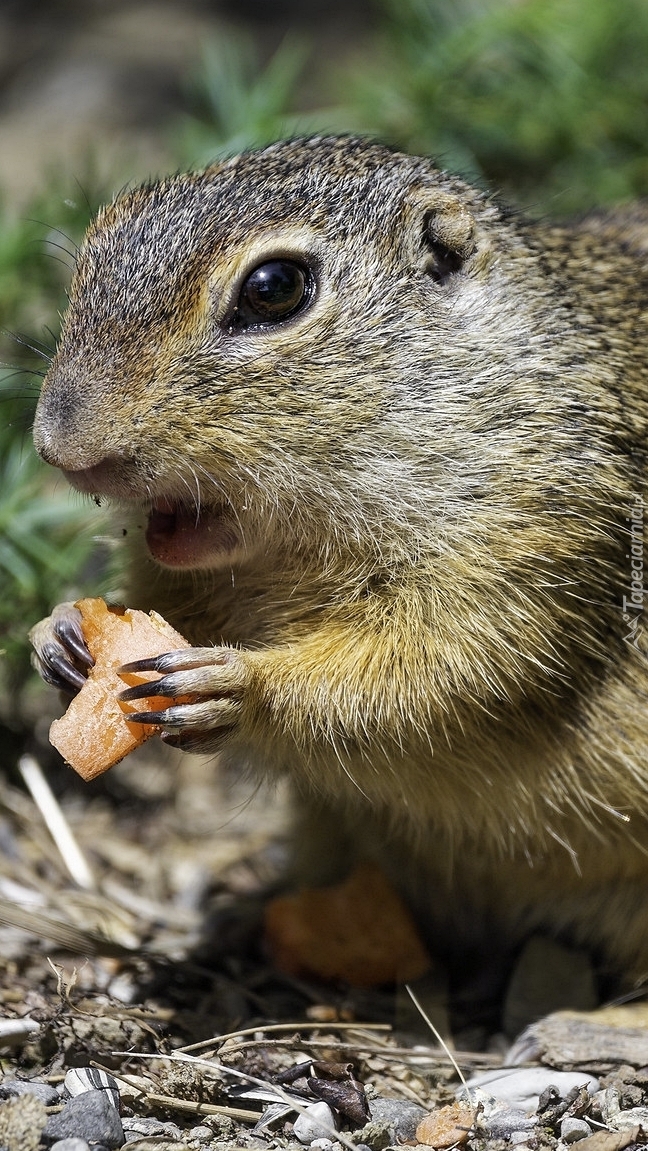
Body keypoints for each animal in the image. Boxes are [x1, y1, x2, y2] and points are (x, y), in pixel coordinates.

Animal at [31, 136, 648, 1026]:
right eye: (95, 245)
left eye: (274, 289)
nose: (58, 445)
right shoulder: (188, 576)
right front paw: (56, 633)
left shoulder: (534, 546)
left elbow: (437, 680)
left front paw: (240, 686)